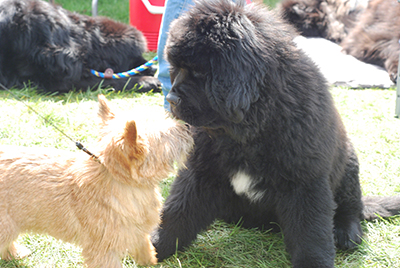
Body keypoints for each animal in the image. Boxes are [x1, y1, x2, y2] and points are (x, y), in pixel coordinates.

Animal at [0, 95, 194, 266]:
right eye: (164, 135)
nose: (188, 126)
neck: (119, 179)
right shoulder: (103, 250)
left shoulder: (137, 233)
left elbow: (145, 250)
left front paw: (151, 262)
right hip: (6, 225)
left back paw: (15, 253)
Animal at [152, 1, 400, 266]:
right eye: (176, 68)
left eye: (199, 72)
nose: (171, 99)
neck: (246, 131)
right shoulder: (201, 171)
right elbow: (178, 211)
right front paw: (153, 246)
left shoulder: (305, 181)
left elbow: (311, 234)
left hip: (347, 163)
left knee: (351, 205)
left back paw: (347, 232)